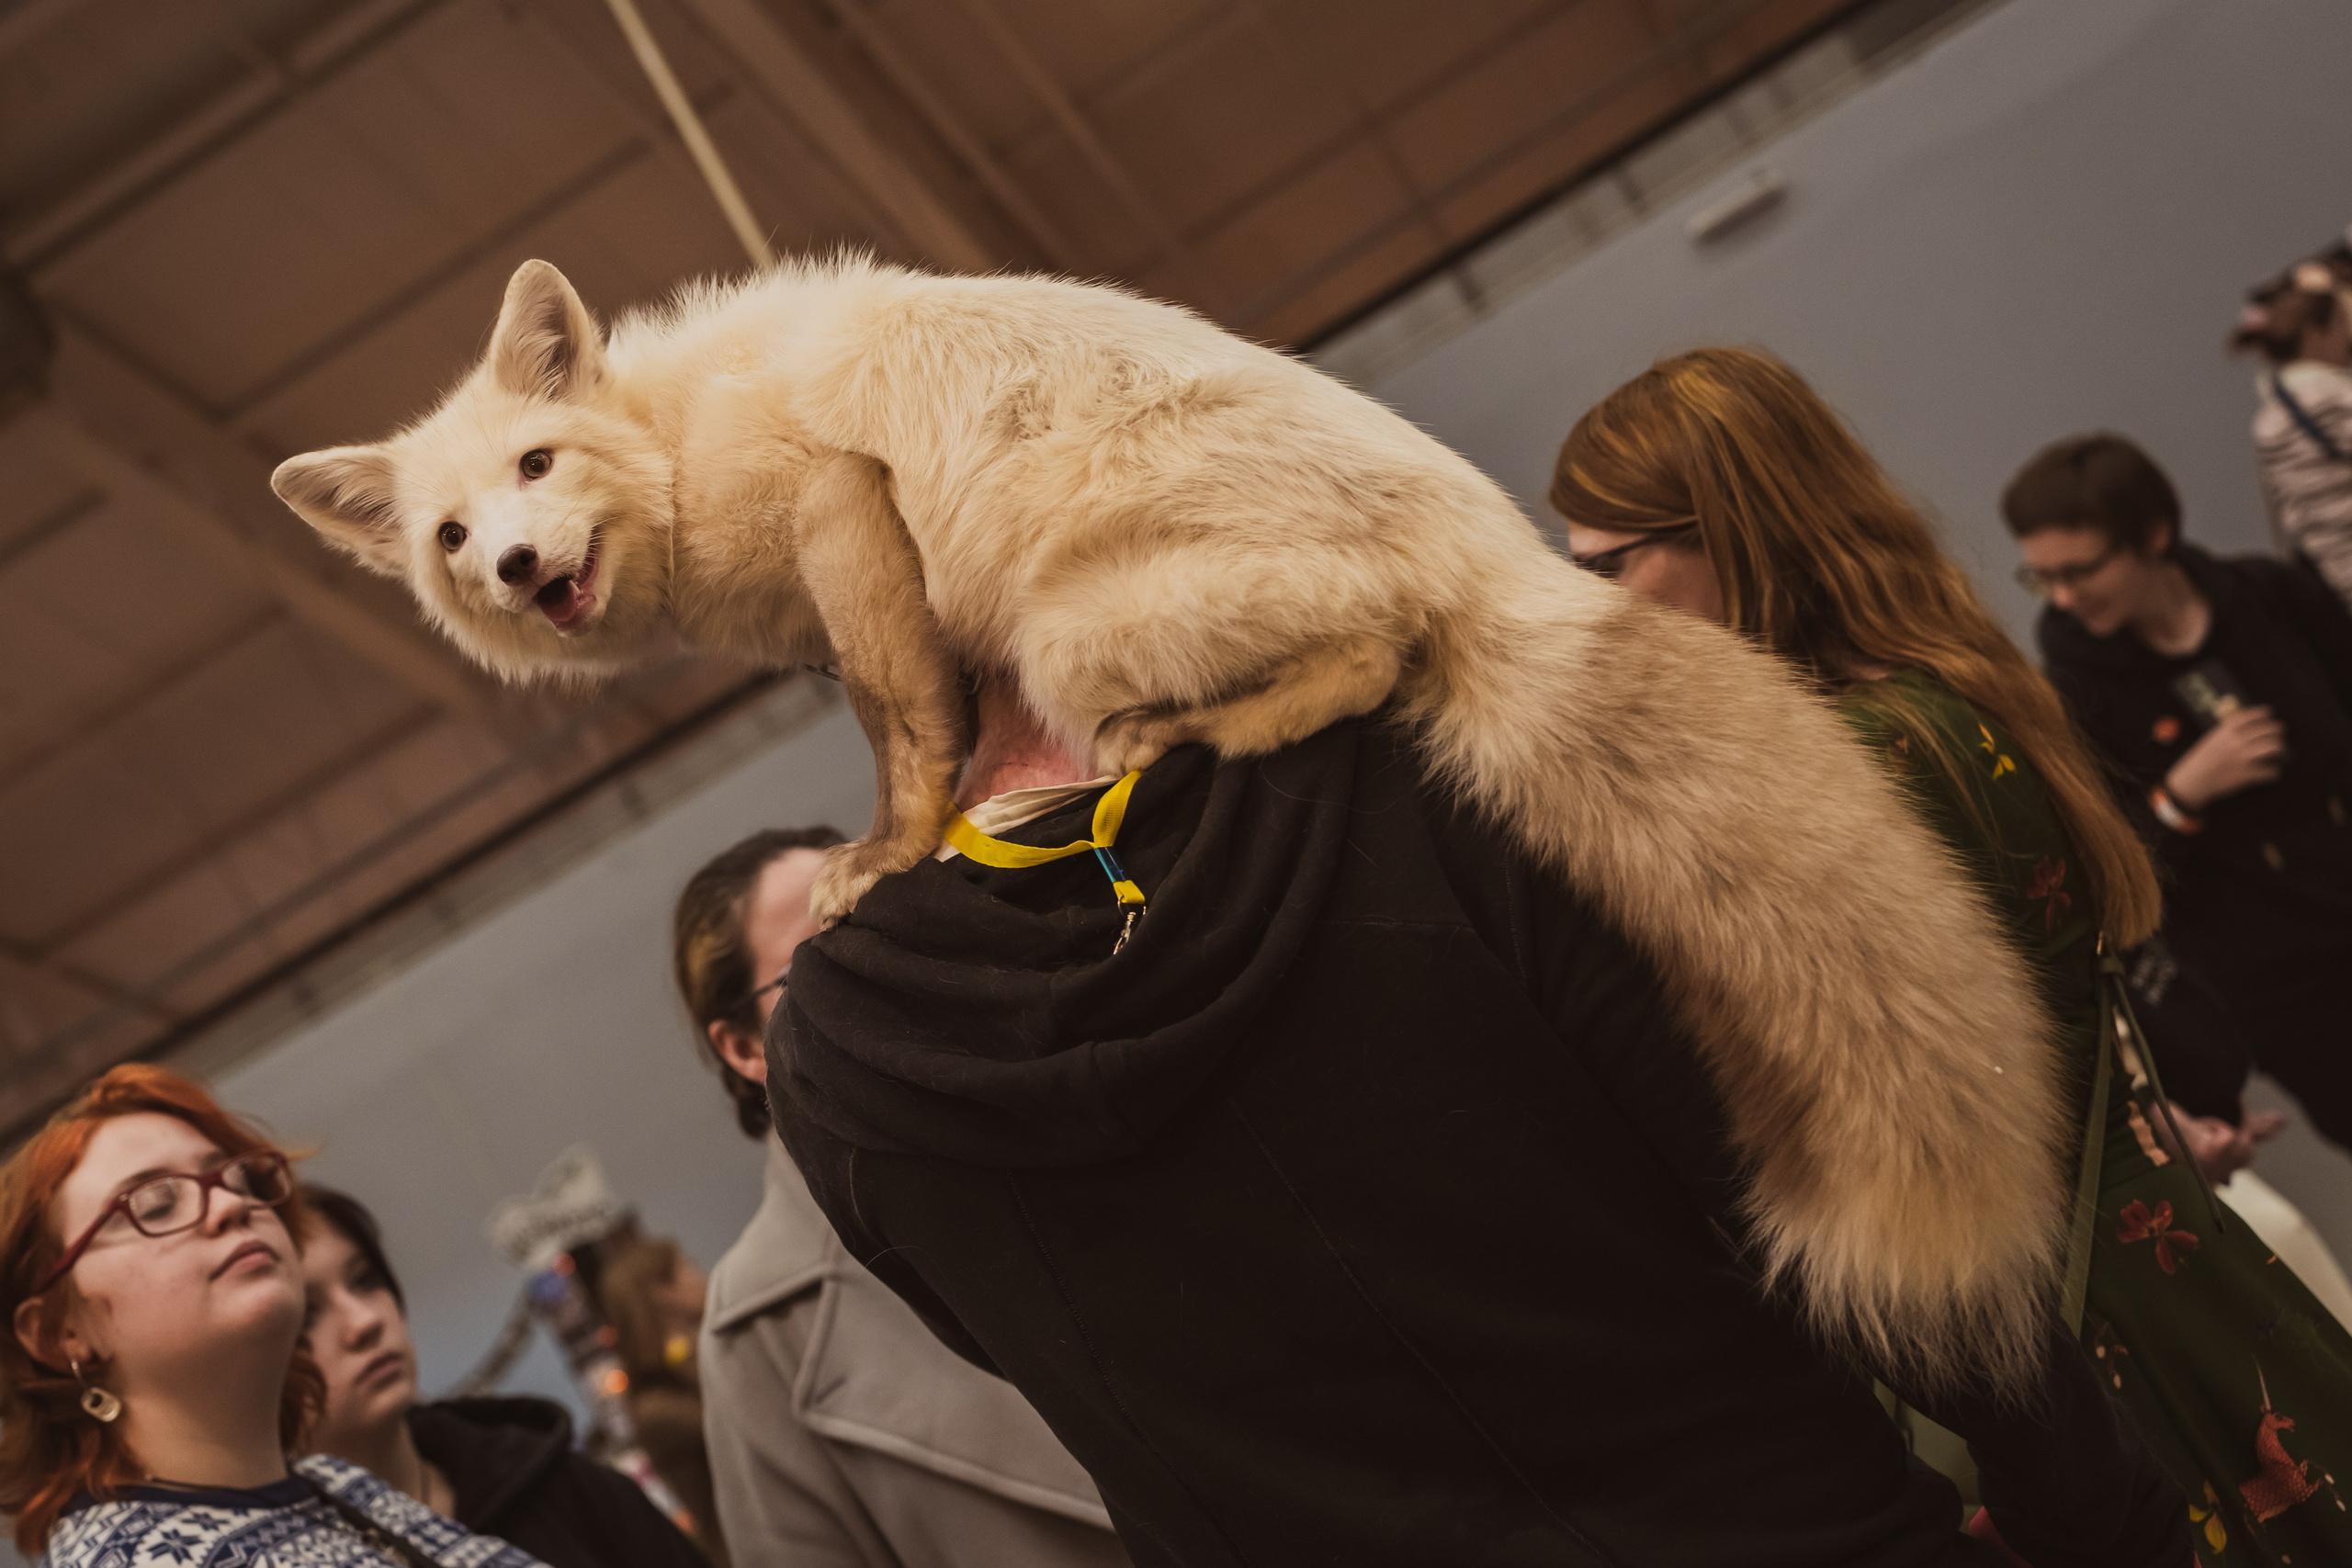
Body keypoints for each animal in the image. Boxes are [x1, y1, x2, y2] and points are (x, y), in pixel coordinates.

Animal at [275, 254, 2069, 1398]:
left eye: (536, 462)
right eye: (449, 534)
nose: (519, 569)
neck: (672, 439)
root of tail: (1495, 554)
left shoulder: (848, 519)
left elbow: (907, 737)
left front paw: (889, 853)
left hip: (1081, 634)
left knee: (1372, 661)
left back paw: (1194, 733)